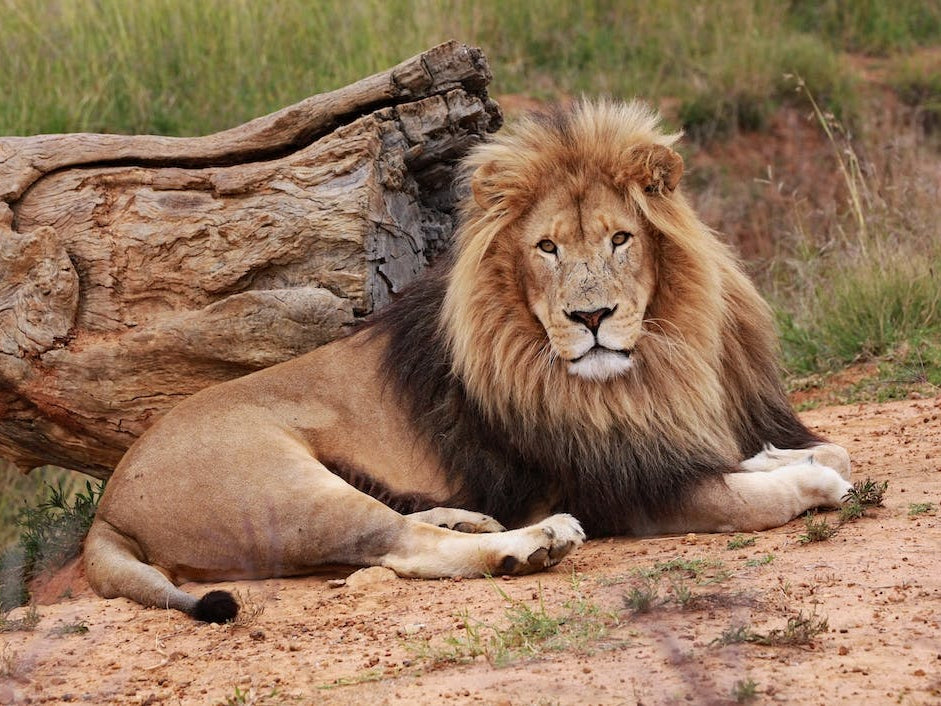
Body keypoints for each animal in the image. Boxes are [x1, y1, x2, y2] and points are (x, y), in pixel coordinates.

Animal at [84, 100, 851, 622]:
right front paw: (811, 482)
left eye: (620, 239)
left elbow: (795, 452)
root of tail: (108, 503)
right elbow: (752, 496)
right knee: (400, 546)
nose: (591, 318)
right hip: (283, 487)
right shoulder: (625, 490)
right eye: (546, 248)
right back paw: (530, 542)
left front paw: (793, 455)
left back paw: (473, 519)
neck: (644, 371)